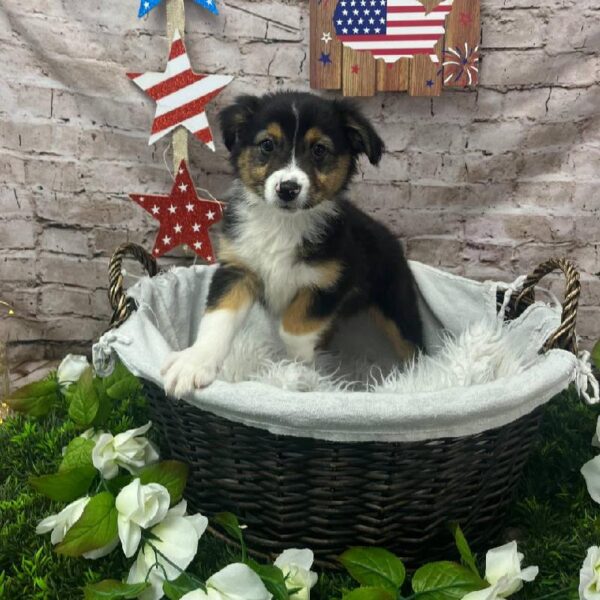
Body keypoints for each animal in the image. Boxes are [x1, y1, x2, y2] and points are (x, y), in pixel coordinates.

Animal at [159, 90, 422, 398]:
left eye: (319, 149)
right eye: (267, 144)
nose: (287, 189)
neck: (282, 224)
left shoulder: (333, 281)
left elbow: (293, 329)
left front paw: (299, 370)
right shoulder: (237, 269)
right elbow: (217, 319)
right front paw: (193, 364)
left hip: (398, 309)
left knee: (414, 347)